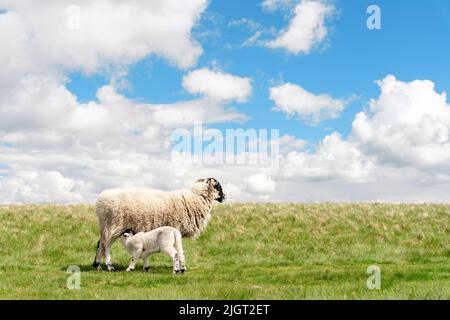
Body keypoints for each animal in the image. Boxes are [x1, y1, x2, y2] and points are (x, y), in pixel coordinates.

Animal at [92, 179, 224, 272]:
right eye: (218, 186)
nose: (224, 197)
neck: (195, 199)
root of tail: (101, 200)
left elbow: (180, 249)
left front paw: (181, 267)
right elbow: (177, 250)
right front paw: (178, 267)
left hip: (107, 226)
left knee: (100, 244)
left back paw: (97, 266)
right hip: (113, 225)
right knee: (106, 245)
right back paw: (109, 266)